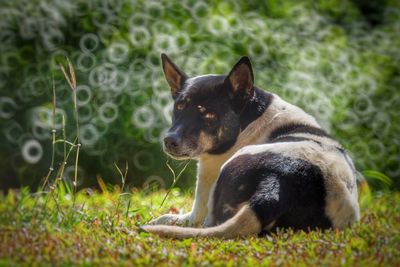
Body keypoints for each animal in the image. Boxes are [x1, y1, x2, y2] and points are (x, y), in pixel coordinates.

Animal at [142, 53, 360, 240]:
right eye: (179, 106)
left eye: (209, 115)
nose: (170, 140)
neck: (249, 121)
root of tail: (275, 186)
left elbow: (189, 217)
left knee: (206, 223)